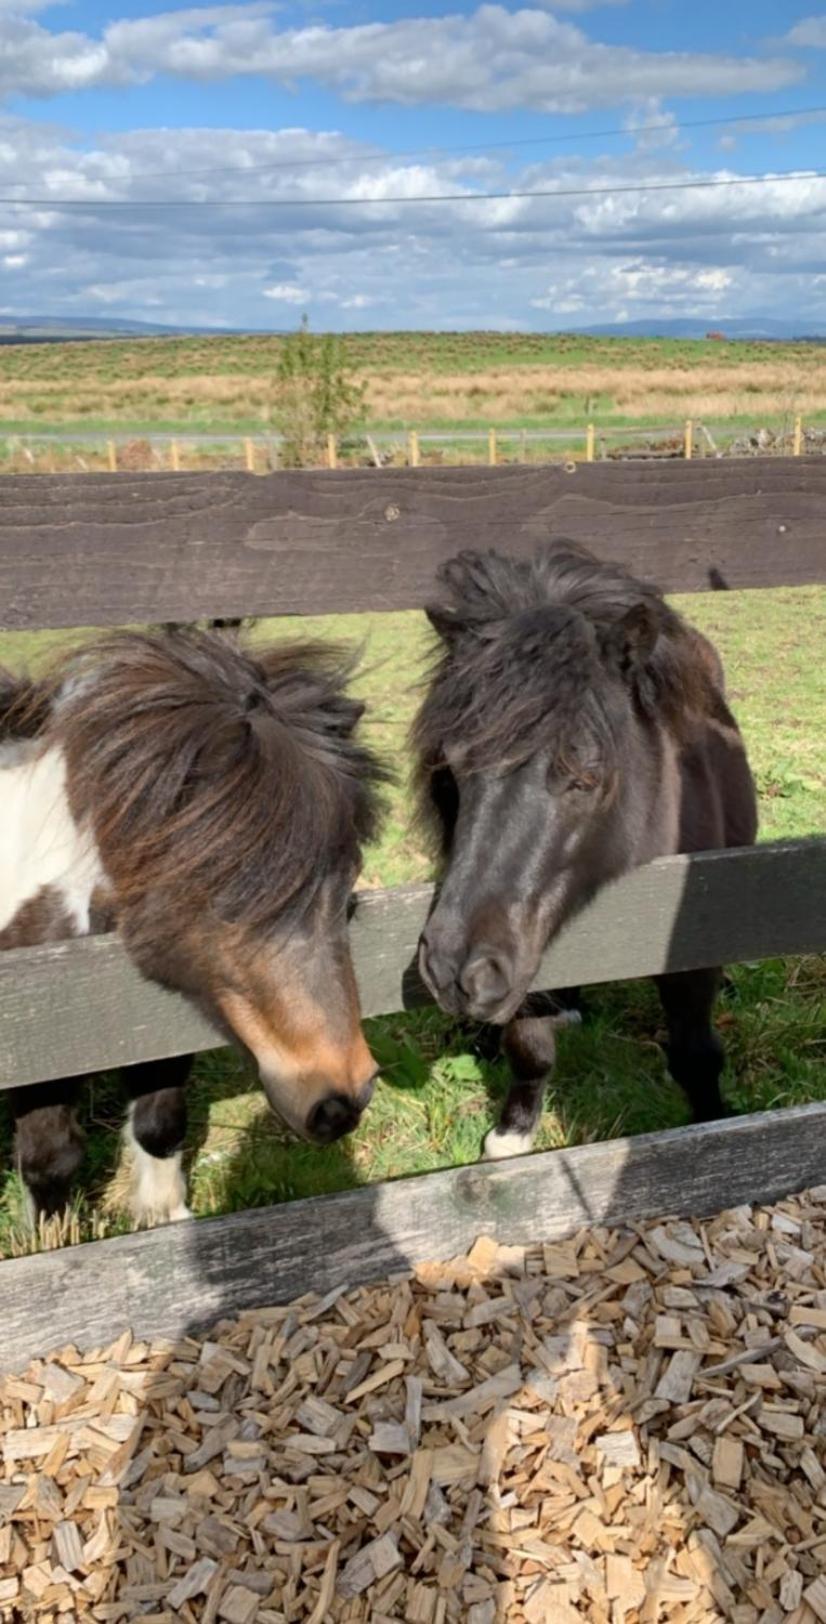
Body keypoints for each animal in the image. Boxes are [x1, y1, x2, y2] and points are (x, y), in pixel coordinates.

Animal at [0, 626, 386, 1221]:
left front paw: (164, 1218)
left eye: (348, 884)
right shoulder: (36, 1053)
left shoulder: (166, 1019)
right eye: (219, 885)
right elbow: (51, 1160)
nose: (342, 1099)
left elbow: (160, 1124)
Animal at [415, 539, 756, 1162]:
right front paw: (513, 1132)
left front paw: (713, 1129)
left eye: (587, 776)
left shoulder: (690, 954)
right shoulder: (522, 952)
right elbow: (528, 1047)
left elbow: (696, 1055)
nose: (454, 970)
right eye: (450, 767)